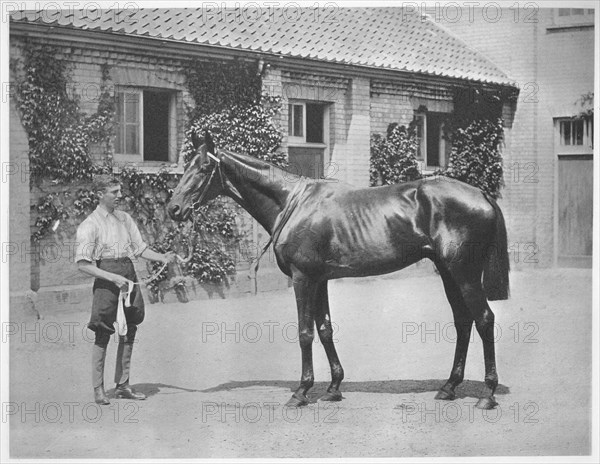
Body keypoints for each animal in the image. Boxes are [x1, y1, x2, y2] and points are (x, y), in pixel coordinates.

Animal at [166, 131, 508, 410]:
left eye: (202, 168)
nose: (174, 209)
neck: (292, 203)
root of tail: (481, 195)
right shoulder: (320, 280)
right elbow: (325, 329)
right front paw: (333, 388)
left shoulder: (303, 279)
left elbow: (305, 332)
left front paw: (301, 391)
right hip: (448, 272)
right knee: (463, 322)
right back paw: (449, 387)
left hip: (464, 273)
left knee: (484, 319)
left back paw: (487, 394)